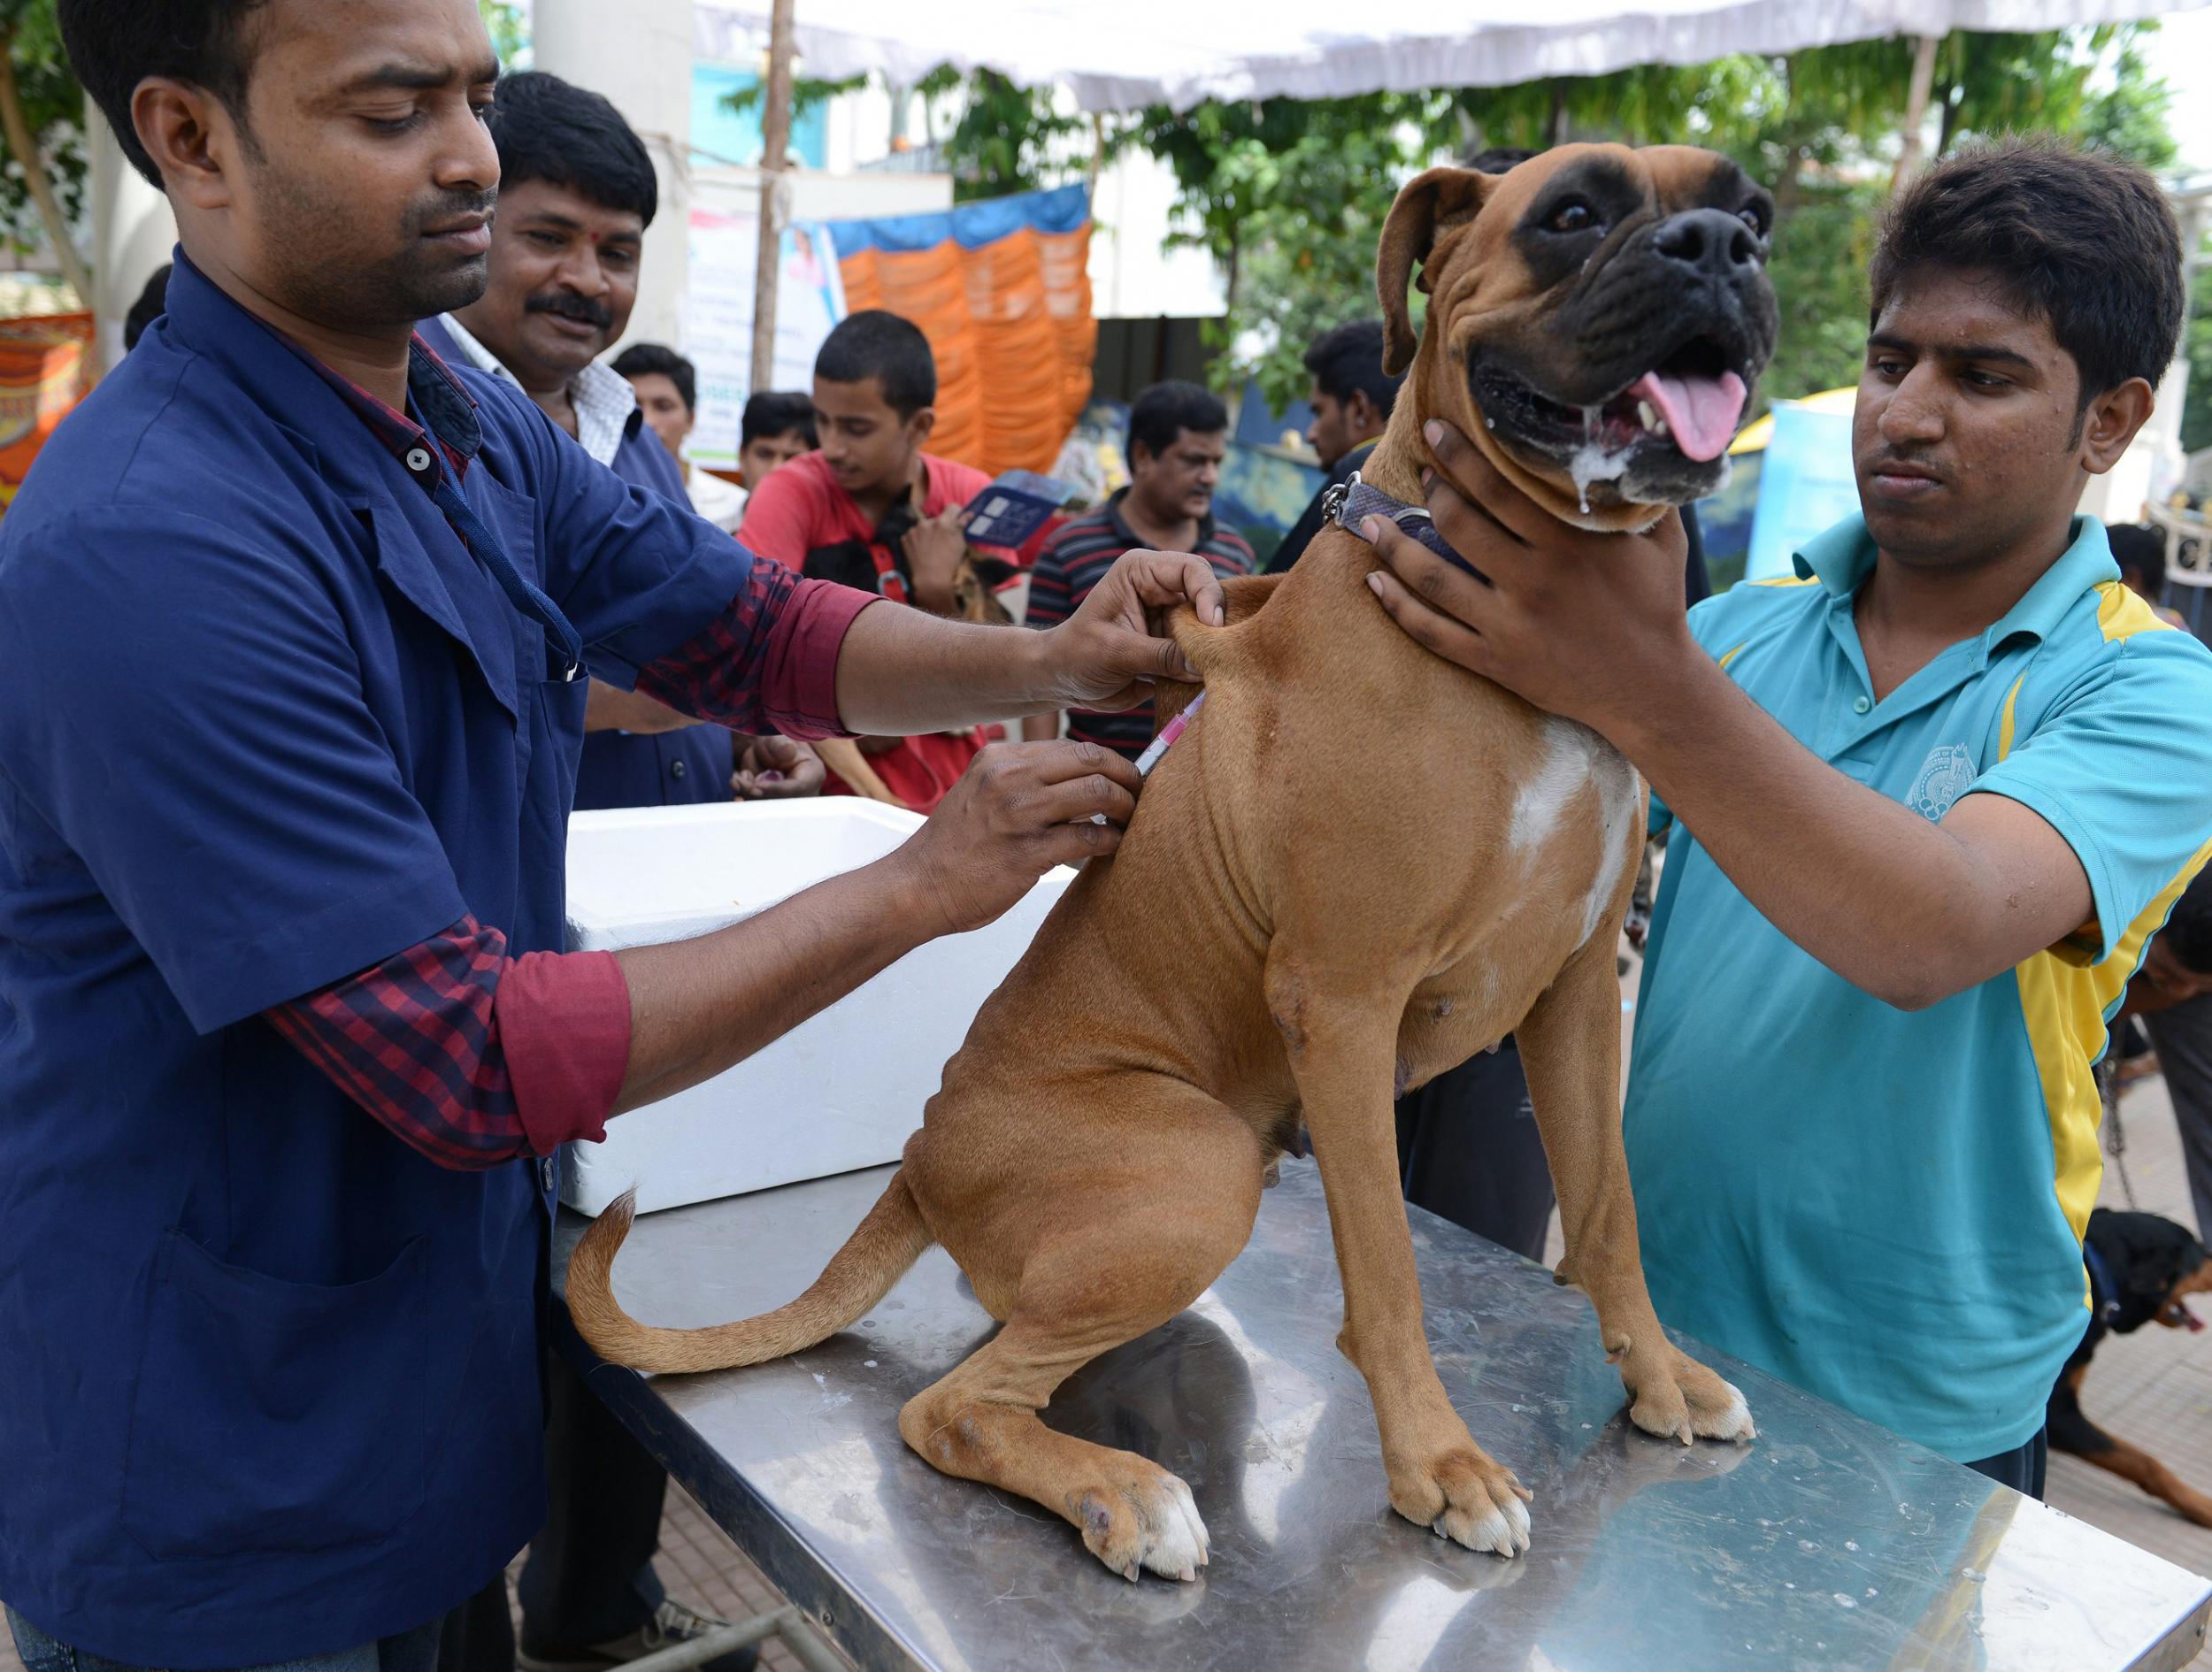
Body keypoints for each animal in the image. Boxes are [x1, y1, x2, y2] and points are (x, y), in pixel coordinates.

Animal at [566, 143, 1778, 1584]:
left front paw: (1657, 1375)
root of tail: (921, 1154)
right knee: (951, 1411)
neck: (1511, 640)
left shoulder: (1580, 993)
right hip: (1197, 1164)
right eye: (1573, 213)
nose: (1721, 249)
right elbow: (1390, 1265)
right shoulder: (1348, 1001)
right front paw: (1438, 1464)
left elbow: (1607, 1213)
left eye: (1755, 211)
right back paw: (1122, 1493)